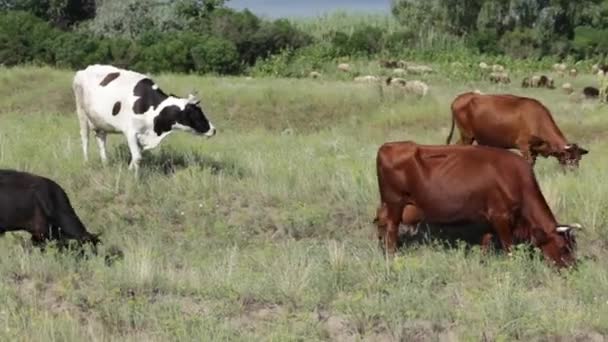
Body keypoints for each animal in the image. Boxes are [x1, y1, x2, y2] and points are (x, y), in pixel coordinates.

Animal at [72, 63, 217, 172]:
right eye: (196, 113)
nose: (214, 130)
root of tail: (85, 69)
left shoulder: (143, 135)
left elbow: (137, 156)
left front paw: (129, 170)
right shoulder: (130, 132)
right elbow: (137, 158)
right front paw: (135, 179)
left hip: (100, 121)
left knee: (101, 140)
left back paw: (105, 163)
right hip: (81, 113)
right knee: (85, 138)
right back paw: (86, 162)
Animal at [376, 141, 580, 268]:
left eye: (573, 247)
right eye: (563, 247)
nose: (572, 268)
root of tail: (388, 146)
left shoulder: (489, 217)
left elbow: (486, 241)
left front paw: (483, 261)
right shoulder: (501, 216)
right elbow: (508, 246)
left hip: (389, 204)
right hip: (395, 202)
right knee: (391, 229)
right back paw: (392, 256)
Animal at [444, 93, 588, 168]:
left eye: (579, 159)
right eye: (569, 158)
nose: (574, 172)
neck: (537, 119)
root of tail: (460, 98)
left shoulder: (534, 149)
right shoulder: (523, 144)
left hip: (467, 136)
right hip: (467, 135)